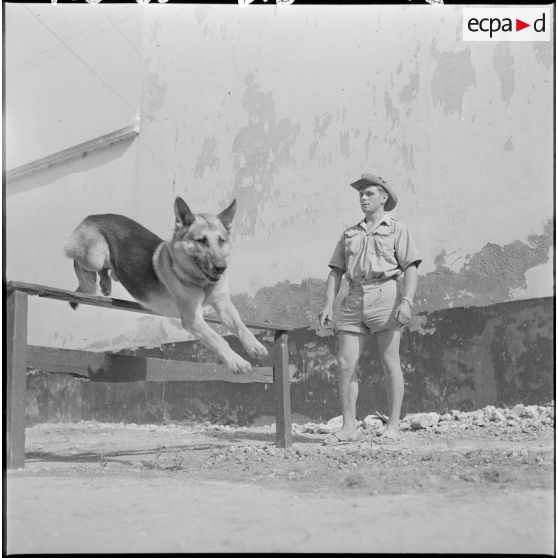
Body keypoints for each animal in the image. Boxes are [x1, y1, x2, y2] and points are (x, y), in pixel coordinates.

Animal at [63, 199, 270, 374]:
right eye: (201, 241)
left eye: (222, 241)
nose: (221, 268)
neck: (200, 282)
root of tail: (93, 216)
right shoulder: (192, 319)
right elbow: (218, 339)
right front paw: (236, 362)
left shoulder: (223, 305)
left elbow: (240, 325)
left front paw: (254, 346)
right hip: (93, 256)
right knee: (78, 260)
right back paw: (90, 278)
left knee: (109, 269)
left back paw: (106, 282)